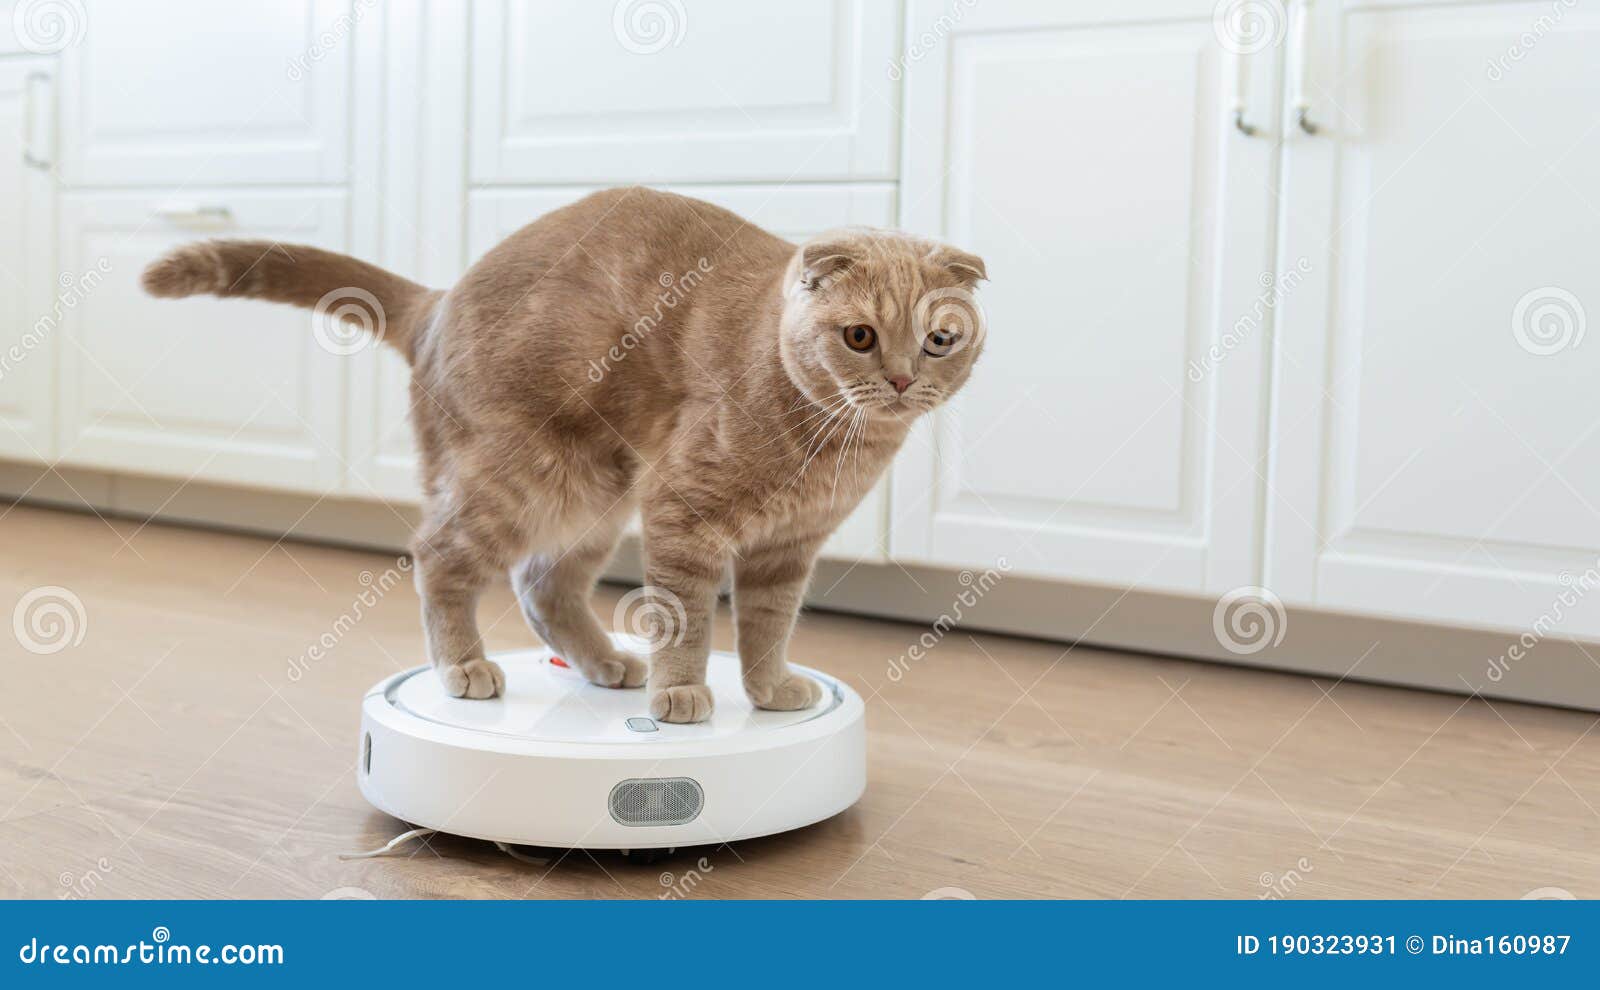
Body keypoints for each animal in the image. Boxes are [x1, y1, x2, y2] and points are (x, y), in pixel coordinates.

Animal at [140, 187, 985, 719]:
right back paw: (465, 667)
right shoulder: (685, 516)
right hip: (528, 480)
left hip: (595, 494)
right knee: (439, 558)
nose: (903, 378)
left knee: (543, 586)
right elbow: (687, 619)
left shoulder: (787, 551)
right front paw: (683, 696)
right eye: (860, 336)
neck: (834, 442)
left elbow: (767, 629)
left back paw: (606, 662)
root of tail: (439, 298)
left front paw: (771, 689)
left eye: (939, 340)